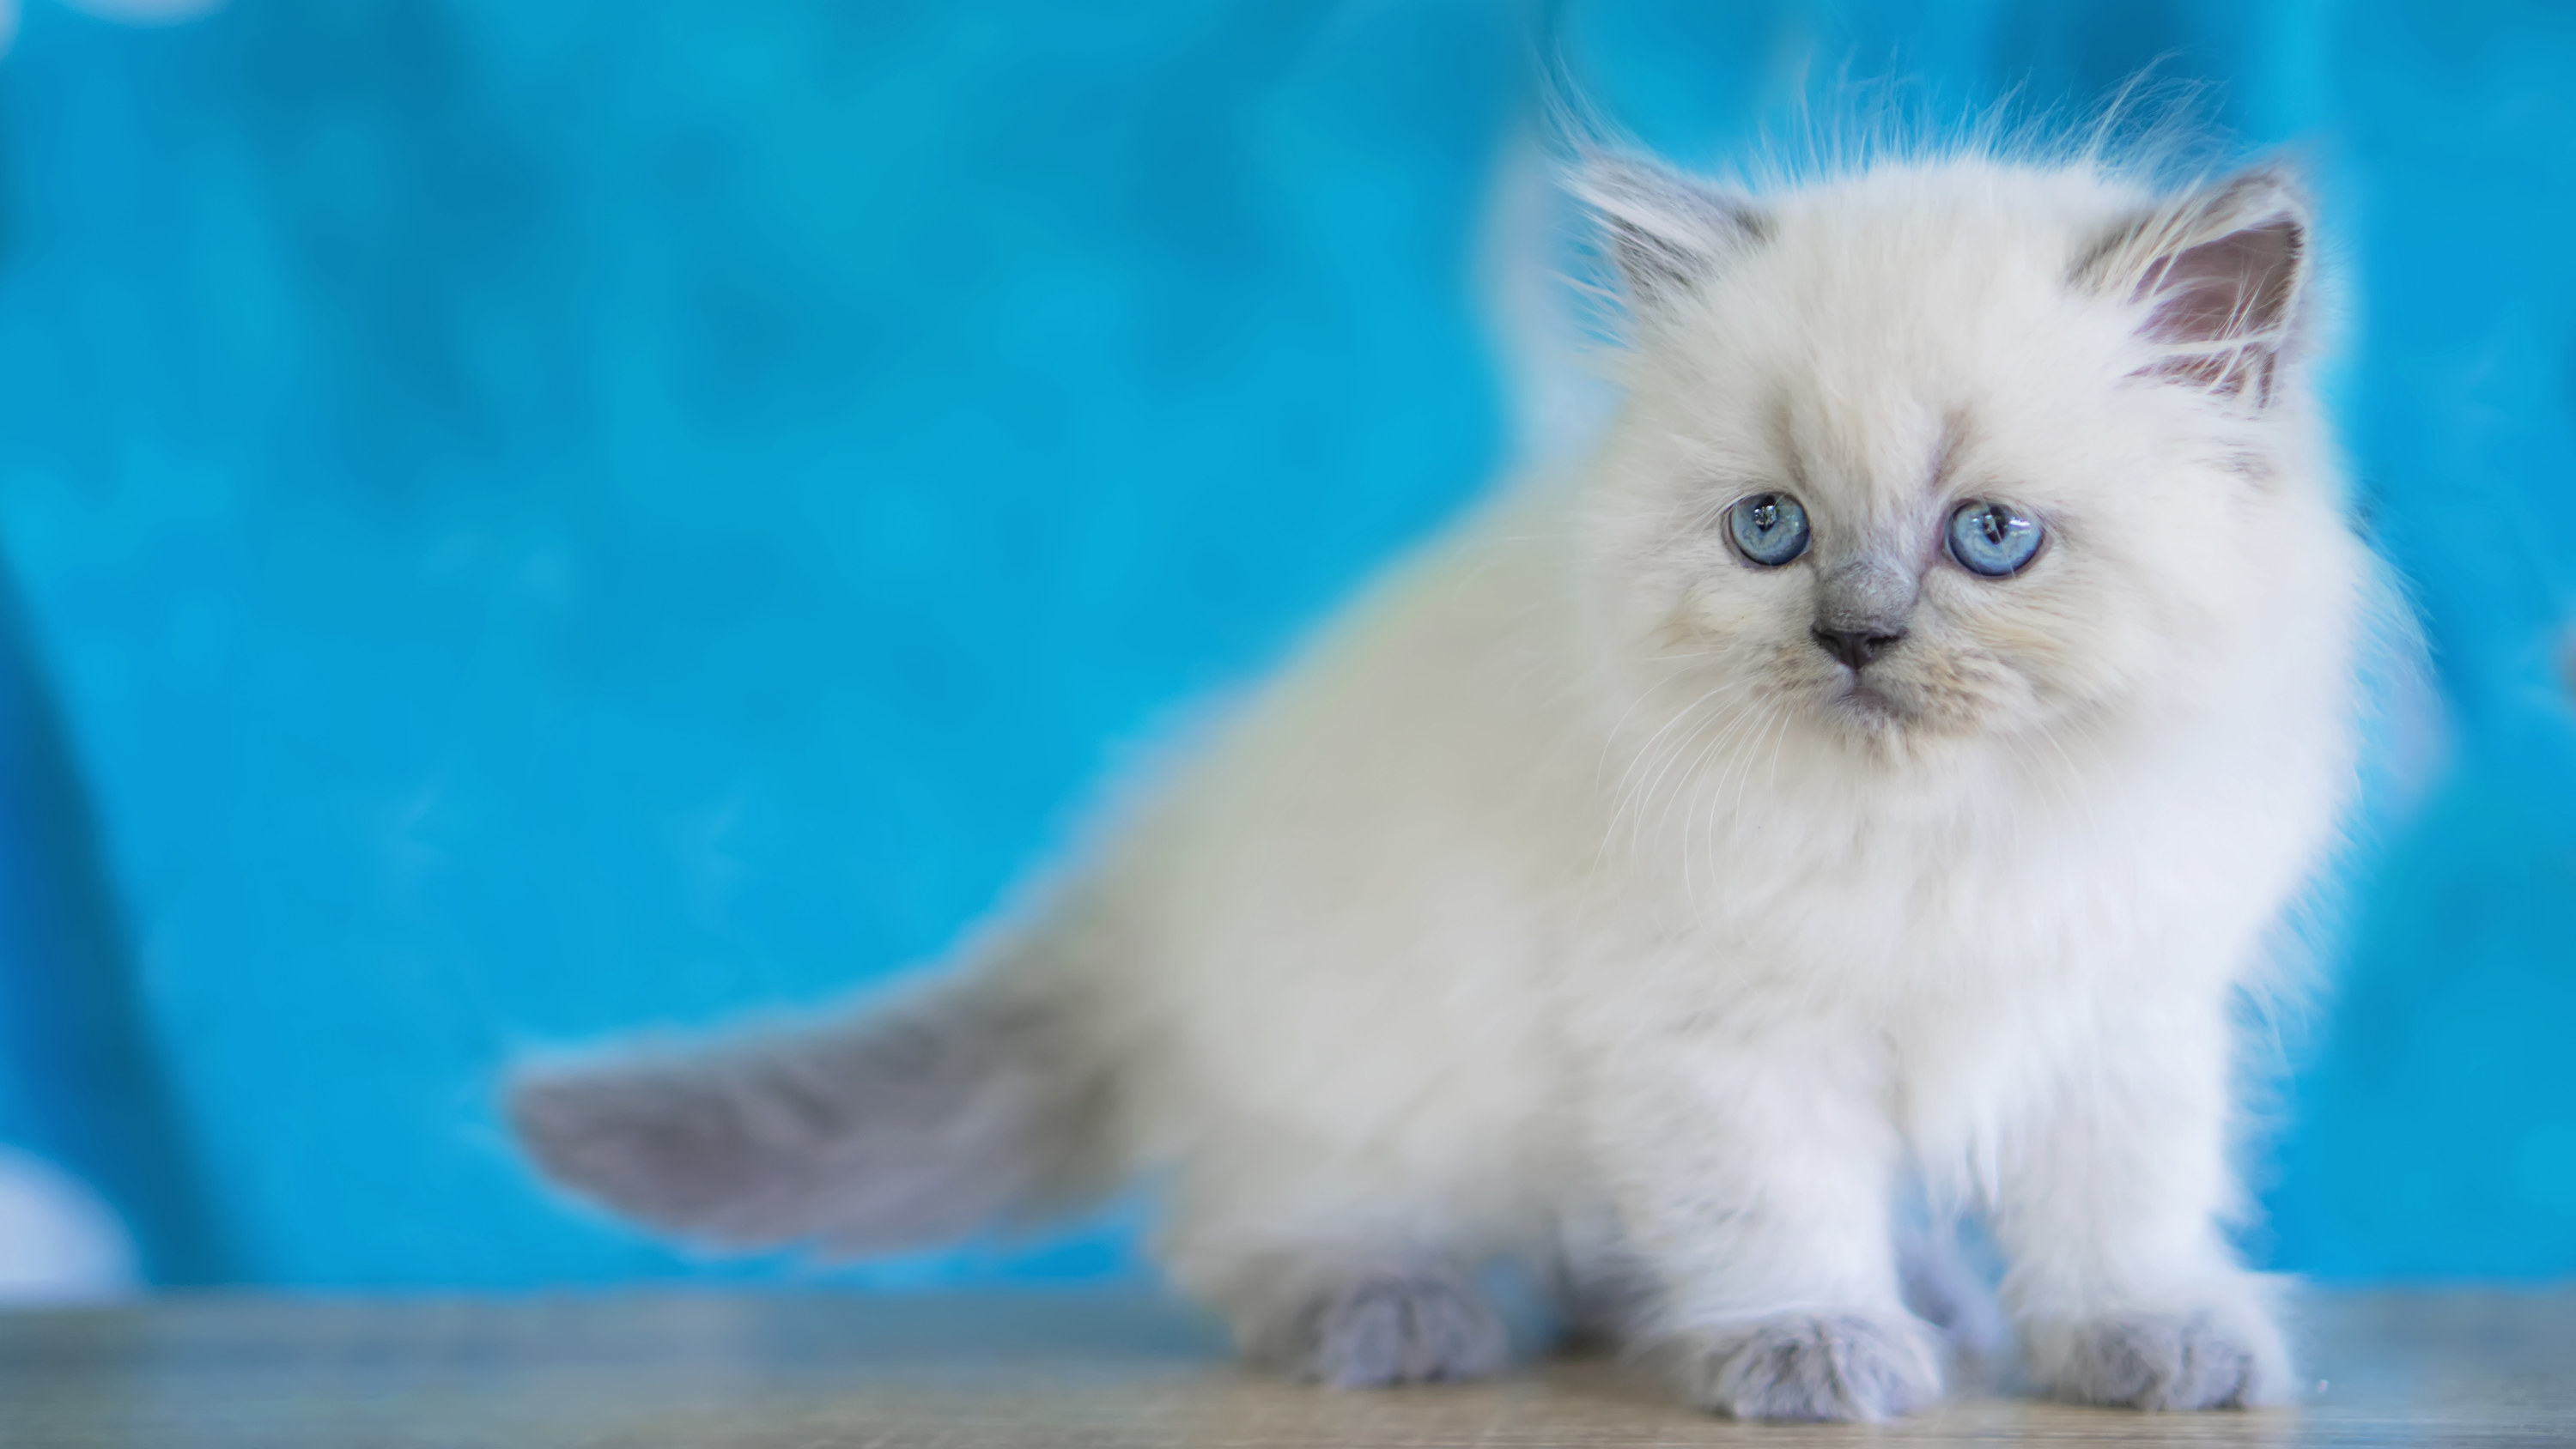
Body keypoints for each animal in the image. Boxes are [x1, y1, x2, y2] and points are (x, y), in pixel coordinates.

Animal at [513, 141, 2380, 1421]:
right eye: (1769, 530)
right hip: (1369, 1078)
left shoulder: (2118, 1006)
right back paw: (1395, 1313)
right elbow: (1778, 1203)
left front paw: (2148, 1337)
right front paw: (1812, 1346)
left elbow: (2121, 1202)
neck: (1940, 828)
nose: (1855, 636)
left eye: (1989, 539)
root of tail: (1159, 856)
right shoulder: (1716, 1033)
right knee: (1244, 1222)